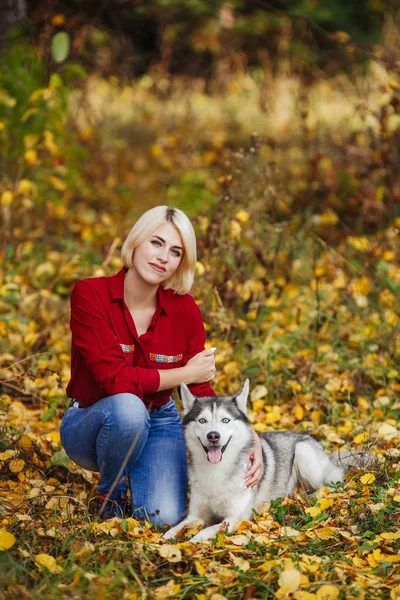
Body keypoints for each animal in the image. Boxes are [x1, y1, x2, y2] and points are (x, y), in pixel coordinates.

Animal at [163, 380, 368, 544]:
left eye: (225, 420)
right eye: (202, 421)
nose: (213, 436)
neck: (216, 472)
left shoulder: (234, 517)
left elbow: (208, 530)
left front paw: (193, 540)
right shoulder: (196, 514)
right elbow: (179, 526)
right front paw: (166, 537)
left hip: (304, 453)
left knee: (332, 482)